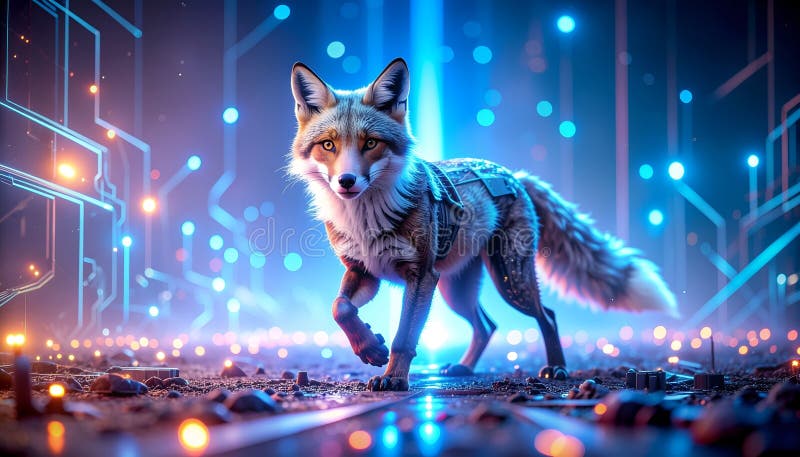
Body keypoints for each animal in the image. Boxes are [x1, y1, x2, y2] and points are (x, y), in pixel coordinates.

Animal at [288, 58, 677, 391]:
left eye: (370, 142)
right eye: (328, 144)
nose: (347, 182)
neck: (367, 218)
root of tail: (515, 174)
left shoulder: (420, 275)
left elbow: (404, 337)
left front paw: (393, 377)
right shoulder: (365, 271)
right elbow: (341, 308)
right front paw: (369, 347)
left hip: (508, 281)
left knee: (547, 316)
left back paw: (557, 367)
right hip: (456, 290)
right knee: (488, 325)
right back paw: (464, 367)